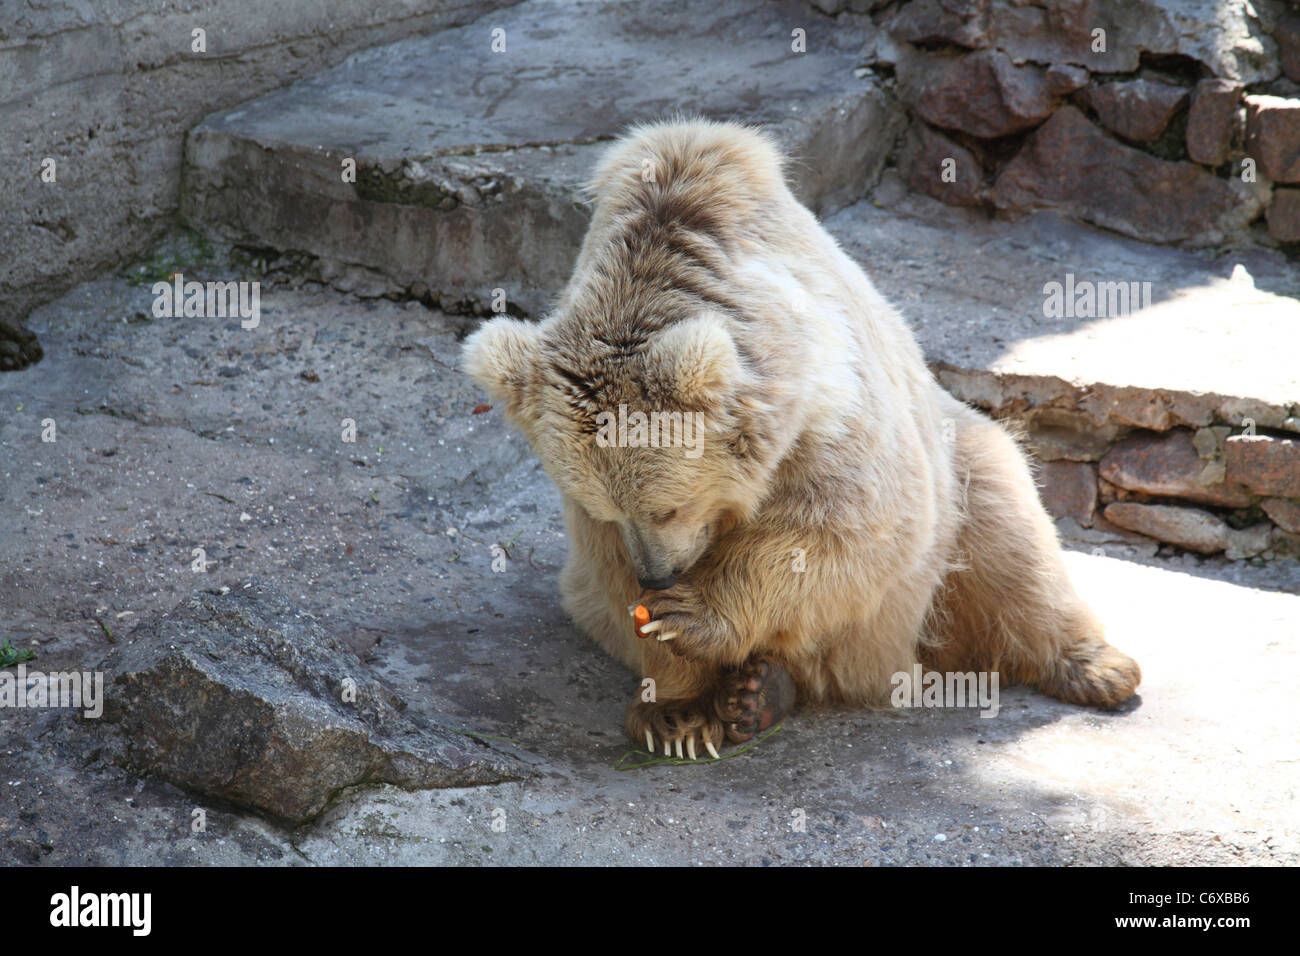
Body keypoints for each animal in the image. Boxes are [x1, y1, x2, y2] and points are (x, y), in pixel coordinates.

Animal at [465, 119, 1138, 764]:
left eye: (669, 507)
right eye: (608, 510)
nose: (658, 576)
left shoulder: (826, 404)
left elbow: (849, 521)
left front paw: (689, 615)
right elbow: (616, 582)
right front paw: (676, 713)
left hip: (956, 470)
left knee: (1009, 538)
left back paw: (1098, 667)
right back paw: (756, 693)